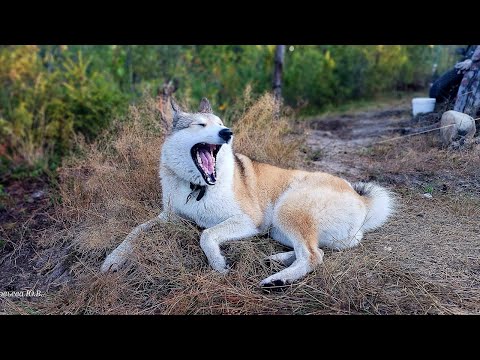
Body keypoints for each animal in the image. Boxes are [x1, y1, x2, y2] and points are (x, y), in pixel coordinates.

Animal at [100, 97, 394, 286]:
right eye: (200, 125)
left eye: (220, 123)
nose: (227, 132)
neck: (198, 187)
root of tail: (362, 201)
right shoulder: (168, 218)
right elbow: (134, 232)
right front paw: (113, 259)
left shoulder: (248, 220)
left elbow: (207, 234)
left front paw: (218, 263)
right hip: (280, 228)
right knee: (316, 250)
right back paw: (277, 260)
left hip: (287, 210)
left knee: (313, 255)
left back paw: (279, 279)